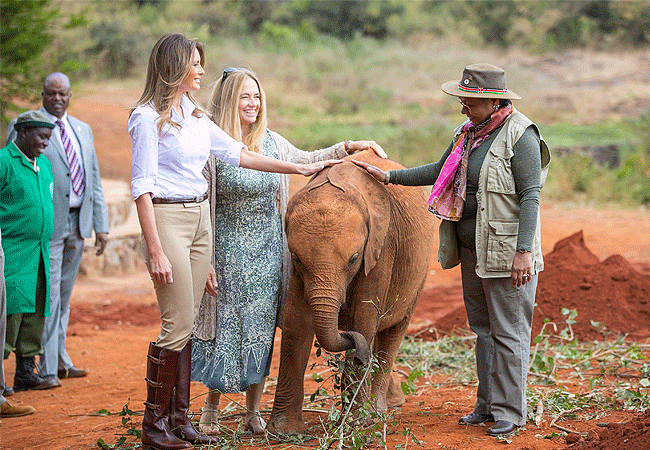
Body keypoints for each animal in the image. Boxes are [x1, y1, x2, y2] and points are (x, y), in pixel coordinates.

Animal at [266, 152, 432, 436]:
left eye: (353, 259)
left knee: (392, 331)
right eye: (297, 258)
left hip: (420, 271)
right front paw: (283, 431)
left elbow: (364, 317)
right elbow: (296, 322)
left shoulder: (381, 246)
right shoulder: (297, 269)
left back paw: (378, 410)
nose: (360, 355)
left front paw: (355, 425)